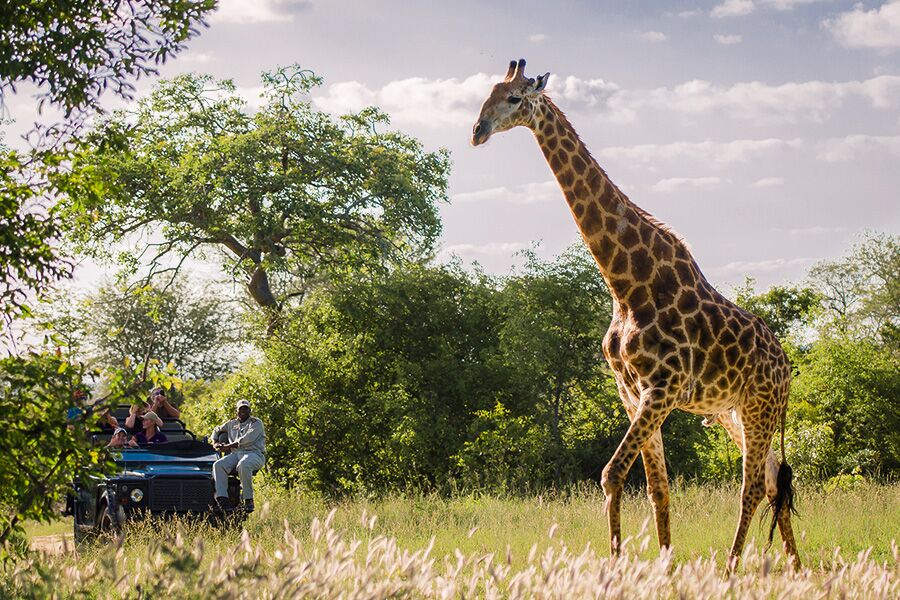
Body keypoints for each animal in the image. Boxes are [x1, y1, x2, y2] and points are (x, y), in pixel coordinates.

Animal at [472, 59, 801, 569]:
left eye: (514, 98)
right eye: (486, 93)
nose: (478, 131)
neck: (626, 284)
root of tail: (786, 366)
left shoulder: (662, 389)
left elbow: (612, 474)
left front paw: (617, 565)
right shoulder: (631, 390)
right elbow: (657, 488)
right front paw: (661, 565)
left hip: (760, 406)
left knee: (751, 488)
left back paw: (731, 569)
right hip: (734, 413)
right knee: (772, 484)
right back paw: (797, 569)